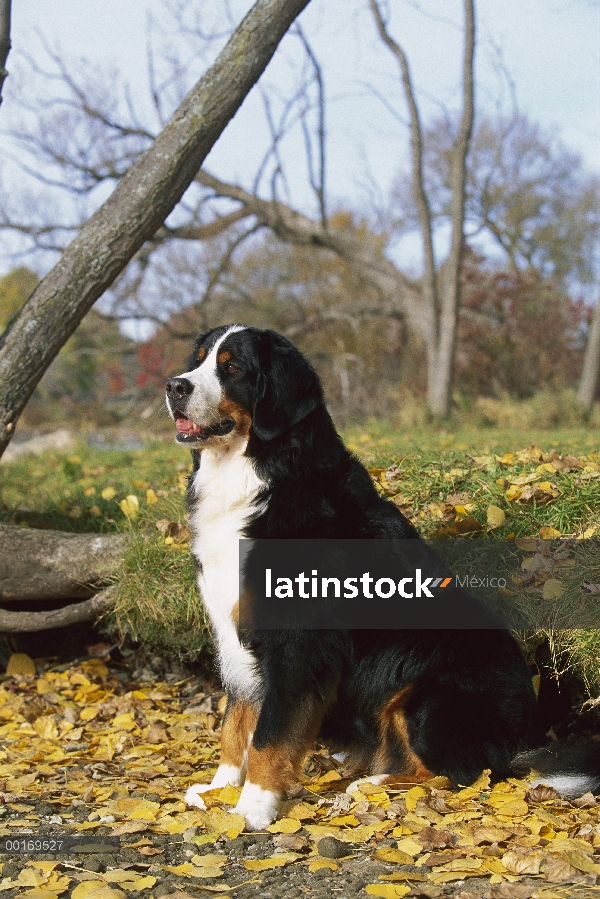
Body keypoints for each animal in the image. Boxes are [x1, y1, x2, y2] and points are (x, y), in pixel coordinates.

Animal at [166, 322, 600, 828]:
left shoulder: (298, 642)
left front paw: (252, 807)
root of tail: (524, 735)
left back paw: (372, 783)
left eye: (232, 367)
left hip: (426, 695)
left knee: (461, 773)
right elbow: (237, 724)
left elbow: (270, 735)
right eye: (198, 359)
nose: (174, 386)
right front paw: (220, 790)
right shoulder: (236, 631)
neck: (257, 476)